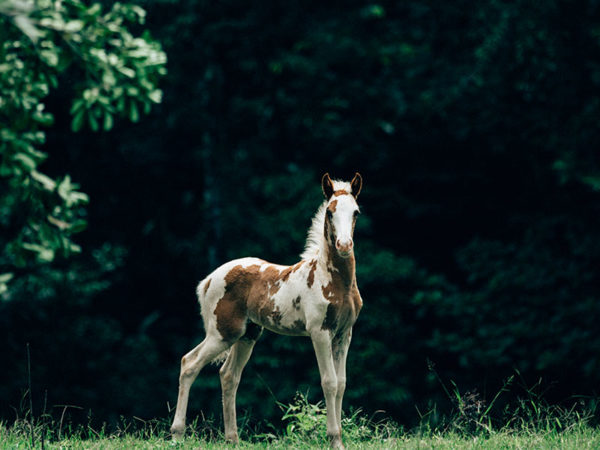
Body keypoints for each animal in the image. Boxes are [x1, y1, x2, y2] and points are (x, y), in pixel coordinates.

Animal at [171, 173, 364, 450]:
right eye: (330, 212)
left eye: (356, 212)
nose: (345, 245)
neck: (334, 282)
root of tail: (207, 280)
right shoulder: (320, 332)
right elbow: (328, 382)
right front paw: (333, 439)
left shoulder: (344, 334)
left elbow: (341, 384)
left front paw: (338, 441)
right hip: (222, 333)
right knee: (189, 363)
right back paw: (177, 434)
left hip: (247, 335)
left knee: (228, 375)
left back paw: (232, 439)